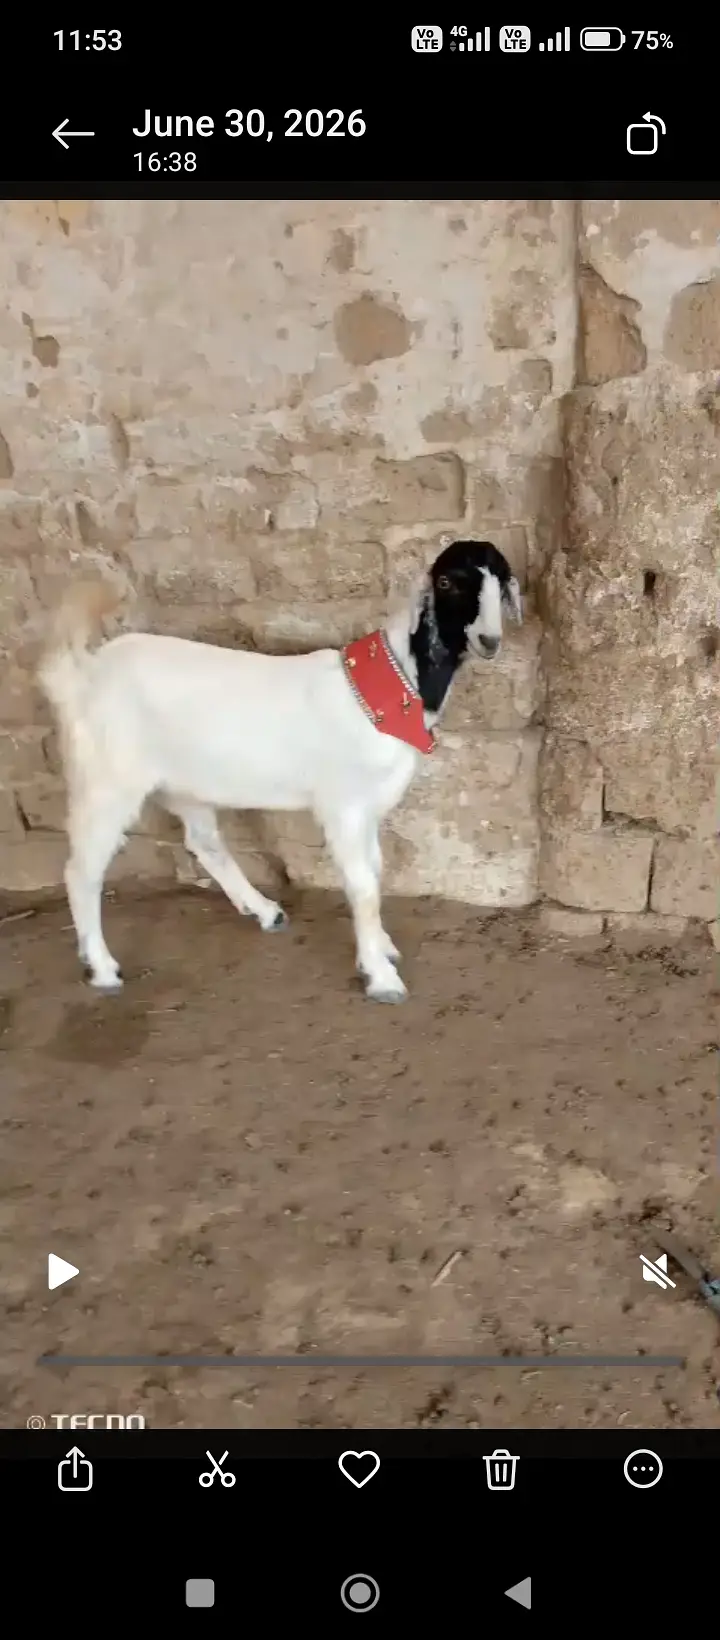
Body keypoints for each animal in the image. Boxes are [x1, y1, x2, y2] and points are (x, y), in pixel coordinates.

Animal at [38, 539, 522, 1003]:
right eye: (447, 583)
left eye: (501, 581)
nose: (489, 640)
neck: (393, 687)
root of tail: (83, 675)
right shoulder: (342, 806)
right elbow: (363, 886)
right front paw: (381, 978)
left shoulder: (367, 808)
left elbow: (376, 870)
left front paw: (382, 947)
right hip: (106, 780)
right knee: (81, 870)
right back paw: (102, 968)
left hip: (182, 783)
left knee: (203, 842)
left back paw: (265, 910)